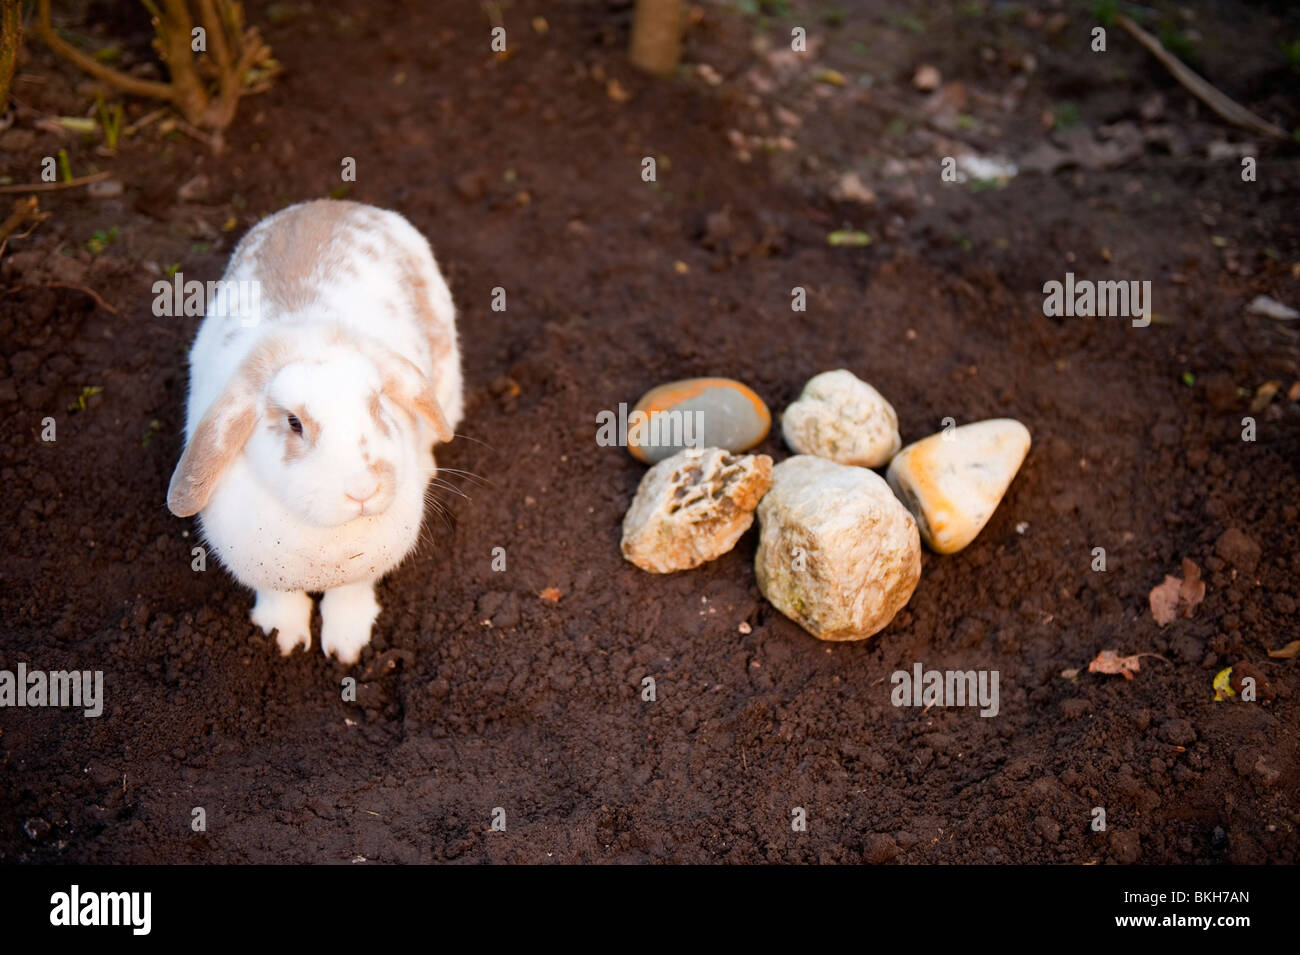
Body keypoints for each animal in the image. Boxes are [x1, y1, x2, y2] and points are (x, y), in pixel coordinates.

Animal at [166, 201, 462, 665]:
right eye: (294, 422)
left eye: (378, 403)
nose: (363, 490)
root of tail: (336, 204)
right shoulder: (264, 572)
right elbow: (279, 598)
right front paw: (282, 638)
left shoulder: (360, 573)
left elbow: (350, 596)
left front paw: (347, 647)